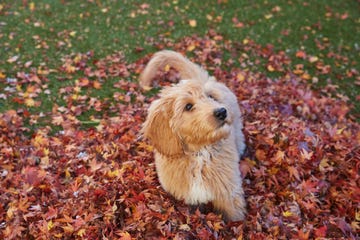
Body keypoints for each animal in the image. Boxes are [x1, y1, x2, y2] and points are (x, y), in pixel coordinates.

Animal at [139, 50, 246, 221]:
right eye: (188, 106)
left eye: (211, 97)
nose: (222, 112)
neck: (200, 154)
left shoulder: (228, 192)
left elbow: (234, 215)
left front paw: (240, 225)